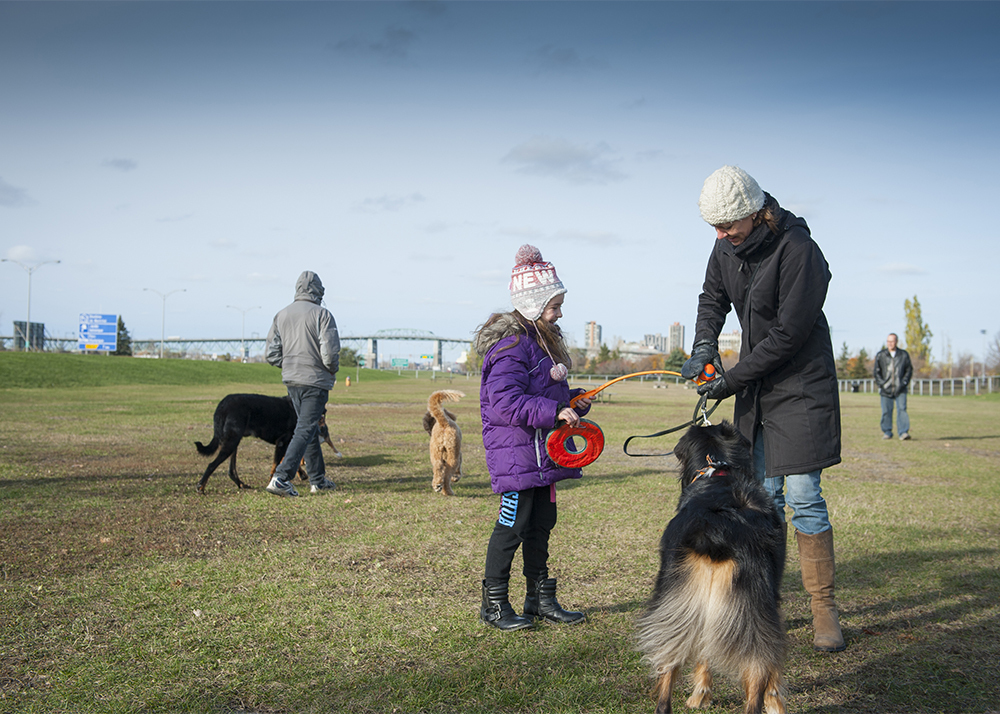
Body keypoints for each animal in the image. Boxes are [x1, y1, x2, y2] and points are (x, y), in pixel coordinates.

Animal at [193, 392, 338, 492]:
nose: (323, 427)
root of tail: (222, 404)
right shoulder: (282, 443)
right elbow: (276, 465)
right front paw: (273, 483)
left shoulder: (288, 443)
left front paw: (301, 474)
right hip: (231, 442)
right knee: (212, 465)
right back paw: (201, 487)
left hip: (234, 443)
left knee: (231, 470)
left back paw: (241, 484)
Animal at [636, 420, 784, 712]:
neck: (718, 474)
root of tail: (715, 530)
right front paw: (775, 701)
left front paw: (700, 695)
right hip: (753, 615)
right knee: (757, 675)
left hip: (675, 602)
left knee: (667, 672)